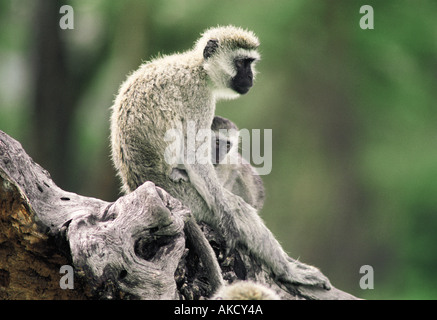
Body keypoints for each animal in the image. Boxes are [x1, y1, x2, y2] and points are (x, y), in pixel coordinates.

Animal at [110, 25, 330, 290]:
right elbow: (194, 155)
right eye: (242, 63)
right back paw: (287, 270)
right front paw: (229, 222)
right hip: (188, 198)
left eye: (251, 63)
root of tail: (137, 185)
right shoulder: (198, 97)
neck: (198, 68)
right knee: (237, 207)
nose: (251, 78)